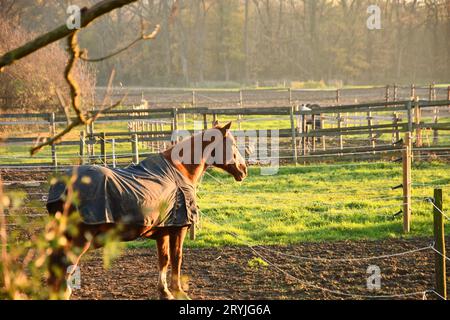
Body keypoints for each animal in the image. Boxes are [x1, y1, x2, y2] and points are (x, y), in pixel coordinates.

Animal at [46, 122, 246, 300]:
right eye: (232, 144)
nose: (244, 169)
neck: (179, 171)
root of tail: (63, 185)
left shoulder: (164, 231)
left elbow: (164, 260)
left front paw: (164, 292)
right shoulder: (179, 229)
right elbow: (177, 258)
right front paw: (178, 291)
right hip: (81, 239)